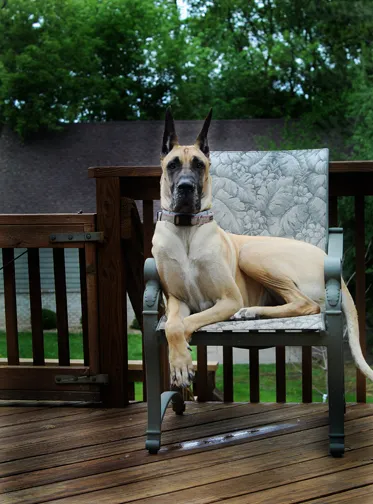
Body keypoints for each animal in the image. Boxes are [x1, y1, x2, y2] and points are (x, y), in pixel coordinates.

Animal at [152, 108, 372, 388]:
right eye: (173, 164)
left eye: (199, 164)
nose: (186, 187)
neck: (186, 230)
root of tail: (327, 259)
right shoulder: (176, 300)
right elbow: (172, 325)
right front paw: (179, 363)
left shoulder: (229, 299)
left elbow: (187, 321)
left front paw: (181, 363)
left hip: (252, 254)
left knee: (306, 304)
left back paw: (250, 311)